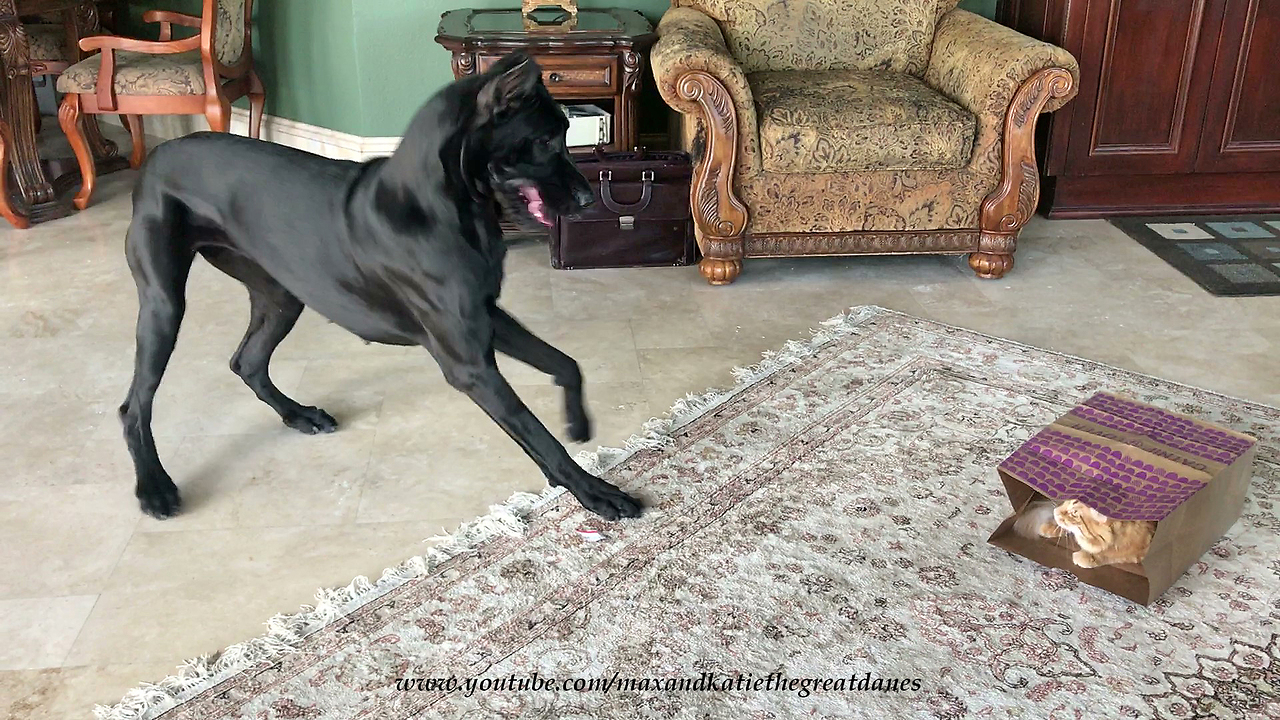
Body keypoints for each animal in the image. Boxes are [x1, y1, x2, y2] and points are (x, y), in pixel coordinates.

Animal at [119, 53, 640, 517]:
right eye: (547, 140)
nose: (588, 199)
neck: (443, 207)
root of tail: (157, 155)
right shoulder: (467, 362)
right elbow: (536, 434)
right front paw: (594, 491)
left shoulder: (485, 316)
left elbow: (566, 363)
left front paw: (577, 421)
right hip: (165, 303)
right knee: (134, 405)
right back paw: (155, 488)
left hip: (280, 295)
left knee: (246, 361)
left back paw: (299, 415)